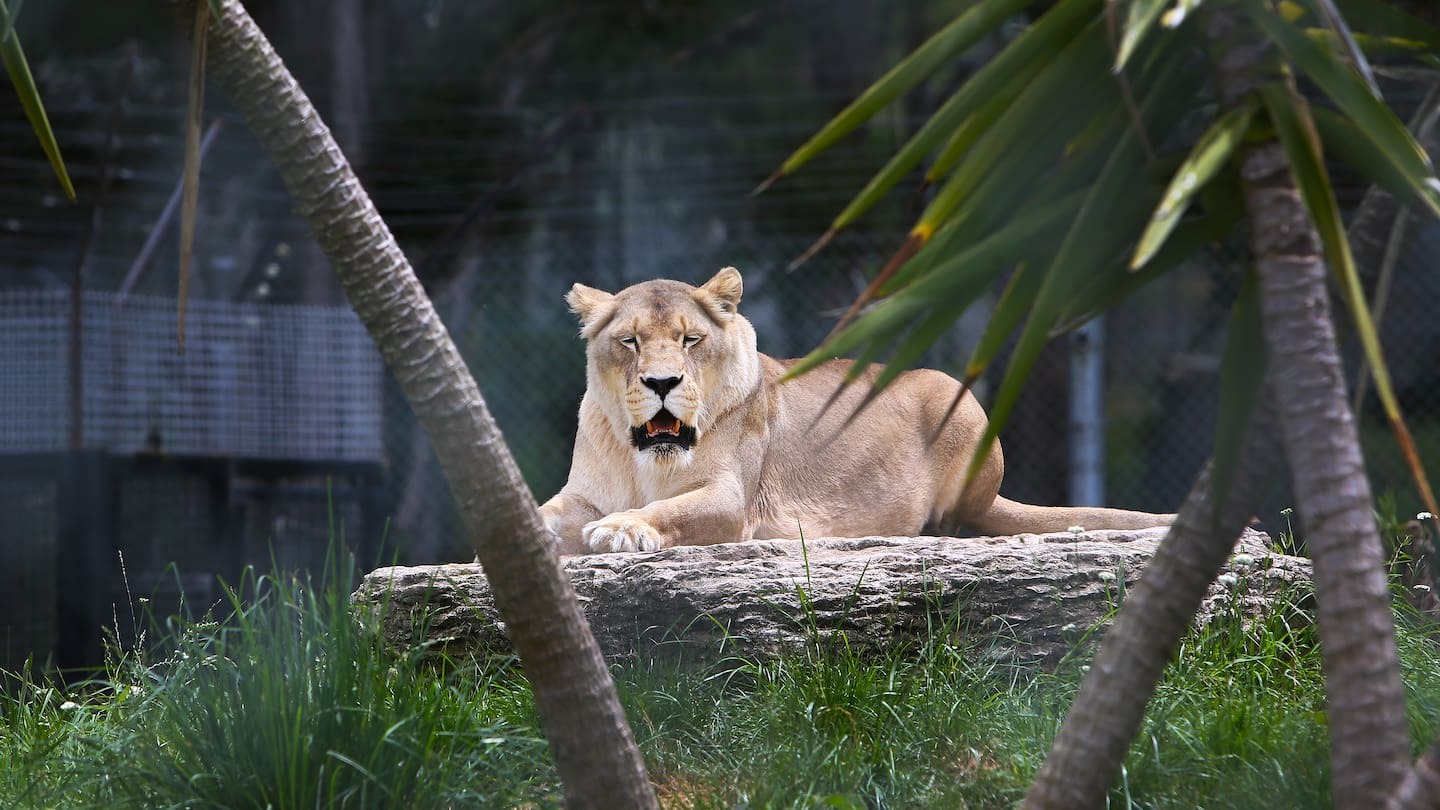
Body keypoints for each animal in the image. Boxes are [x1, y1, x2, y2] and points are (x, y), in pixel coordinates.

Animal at [538, 267, 1173, 554]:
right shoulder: (581, 494)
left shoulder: (731, 501)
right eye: (630, 342)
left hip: (954, 395)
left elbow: (672, 509)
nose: (662, 382)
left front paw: (624, 527)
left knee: (963, 522)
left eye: (691, 340)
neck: (644, 458)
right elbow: (548, 514)